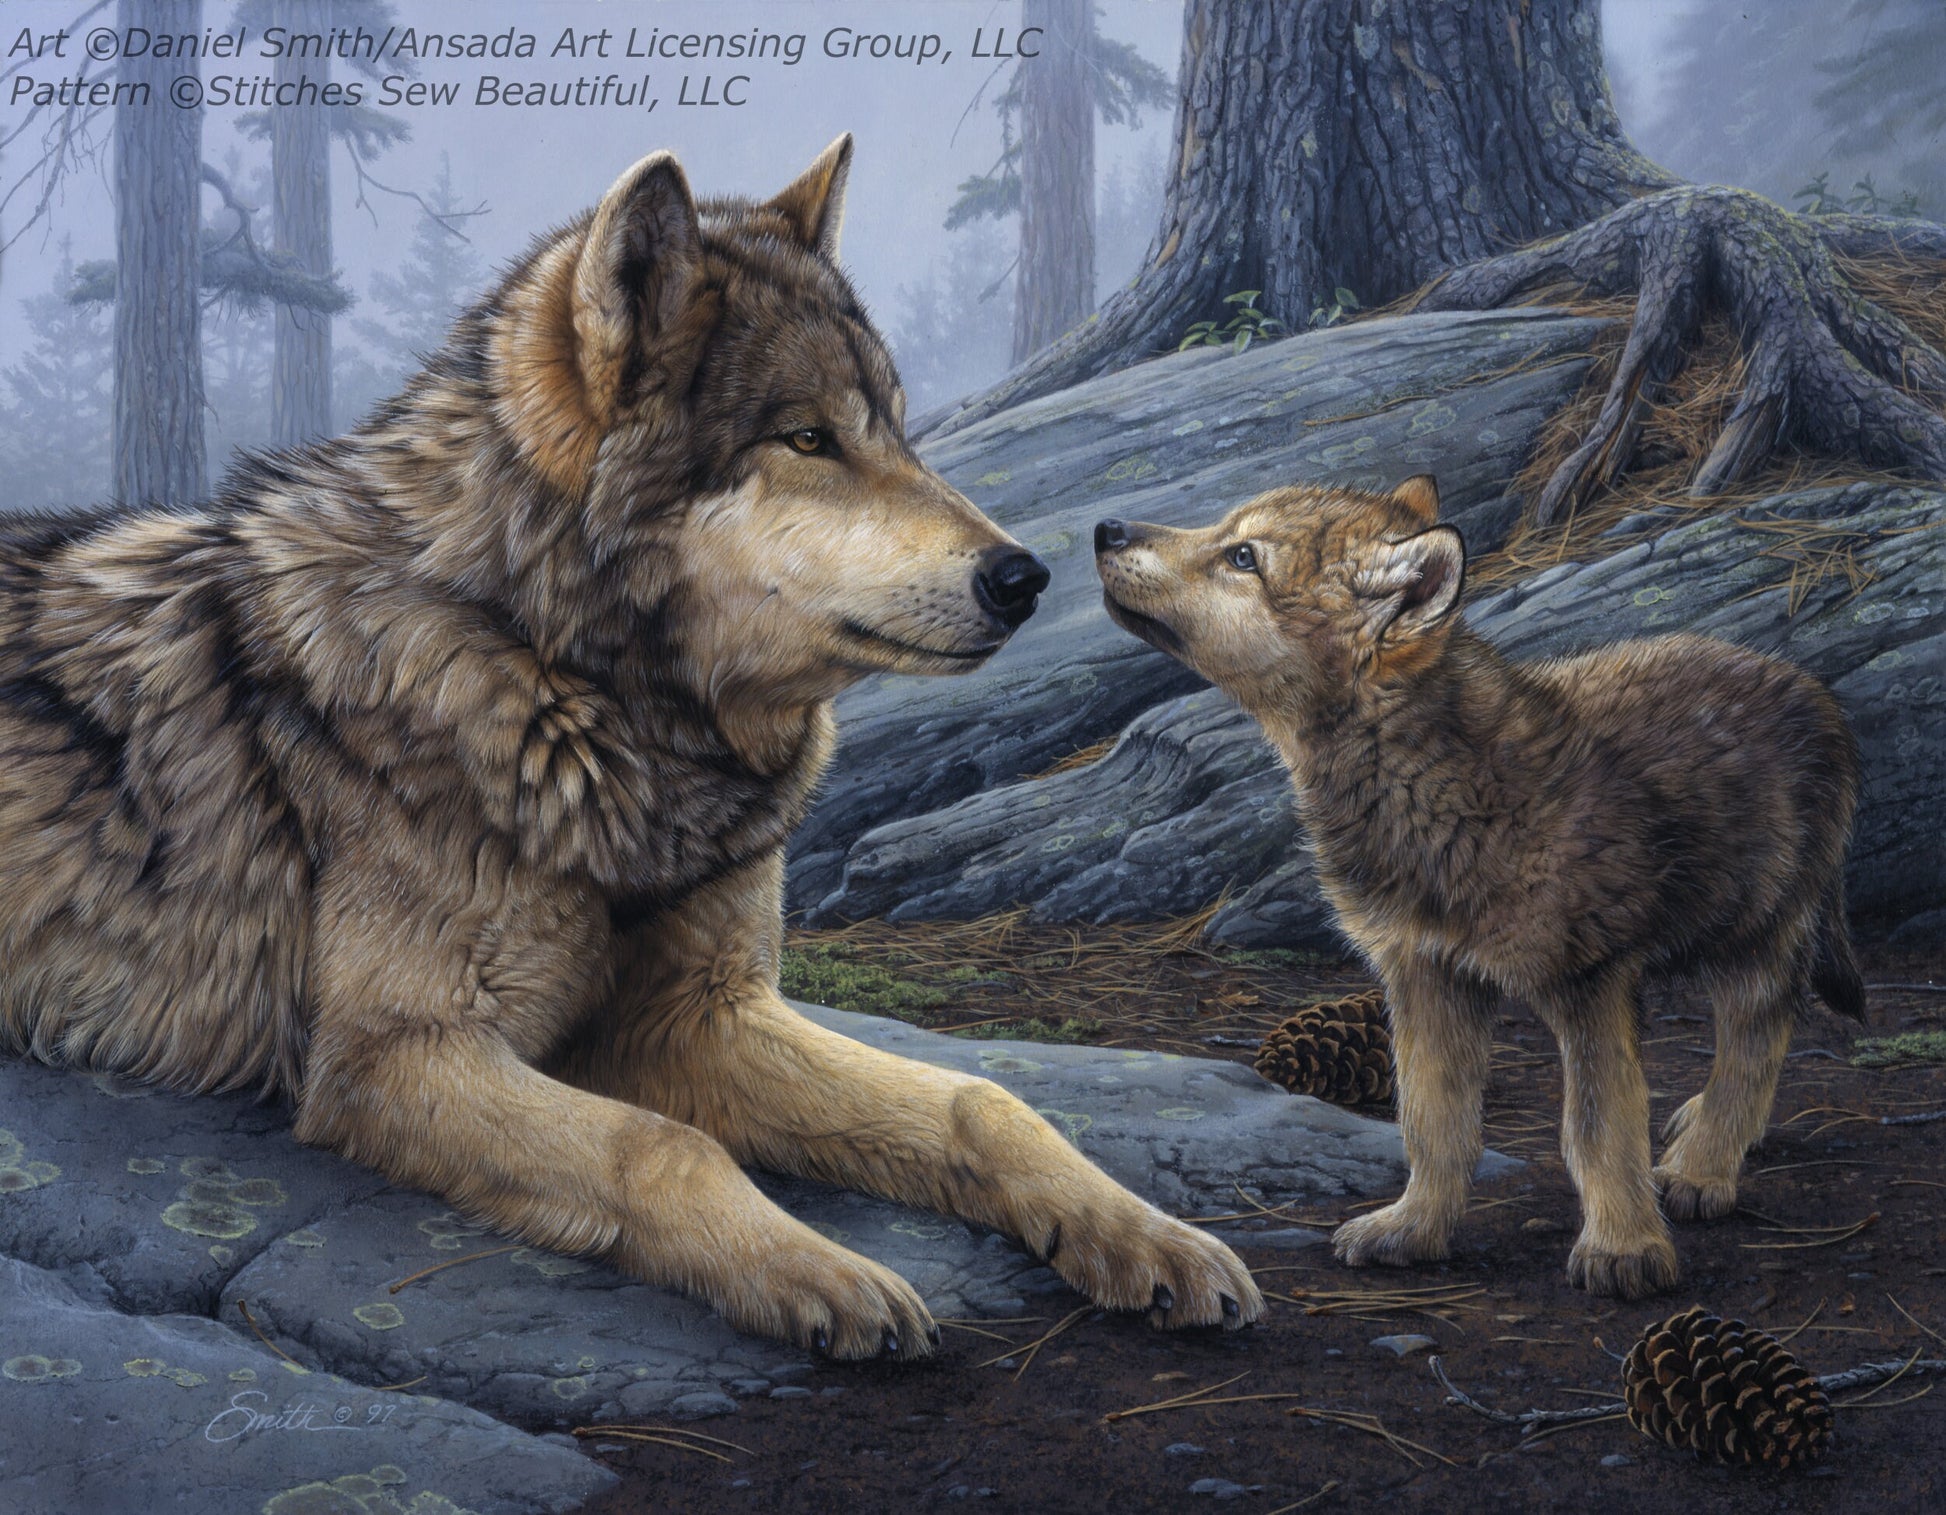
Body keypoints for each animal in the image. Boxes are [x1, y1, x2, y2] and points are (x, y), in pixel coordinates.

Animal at [0, 138, 1261, 1355]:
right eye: (808, 438)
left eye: (898, 432)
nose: (1025, 577)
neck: (576, 699)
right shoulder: (391, 1058)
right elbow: (663, 1145)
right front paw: (820, 1275)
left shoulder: (698, 1017)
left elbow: (977, 1102)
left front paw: (1143, 1235)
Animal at [1093, 477, 1862, 1298]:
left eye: (1243, 557)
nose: (1105, 528)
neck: (1438, 785)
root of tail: (1810, 687)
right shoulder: (1422, 971)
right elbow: (1434, 1122)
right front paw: (1413, 1229)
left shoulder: (1589, 982)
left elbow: (1596, 1130)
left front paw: (1623, 1248)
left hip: (1754, 929)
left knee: (1759, 1038)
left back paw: (1702, 1167)